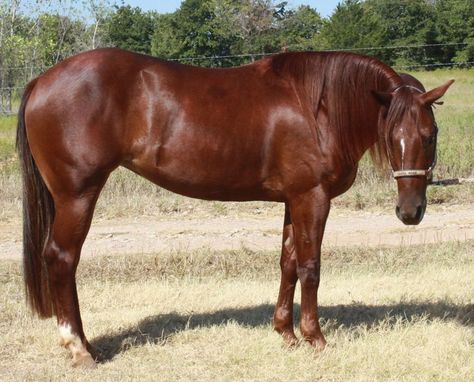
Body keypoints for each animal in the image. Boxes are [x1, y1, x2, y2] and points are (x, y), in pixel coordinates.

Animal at [16, 48, 454, 368]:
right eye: (391, 134)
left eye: (430, 134)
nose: (410, 211)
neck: (318, 108)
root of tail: (42, 80)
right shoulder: (312, 197)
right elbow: (310, 267)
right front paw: (315, 338)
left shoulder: (292, 199)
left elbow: (288, 263)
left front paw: (286, 333)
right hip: (78, 195)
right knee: (62, 258)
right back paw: (80, 349)